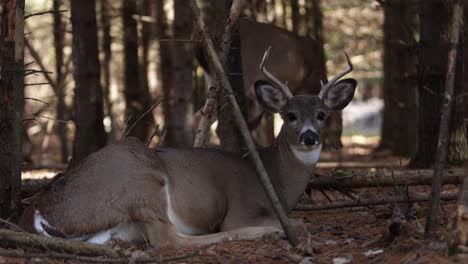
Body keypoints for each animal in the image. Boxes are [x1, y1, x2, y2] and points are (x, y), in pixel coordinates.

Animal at [18, 50, 354, 250]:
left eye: (322, 114)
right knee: (168, 241)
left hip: (115, 226)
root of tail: (37, 210)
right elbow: (297, 222)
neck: (277, 180)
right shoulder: (242, 210)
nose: (309, 136)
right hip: (142, 180)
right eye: (290, 115)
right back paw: (259, 234)